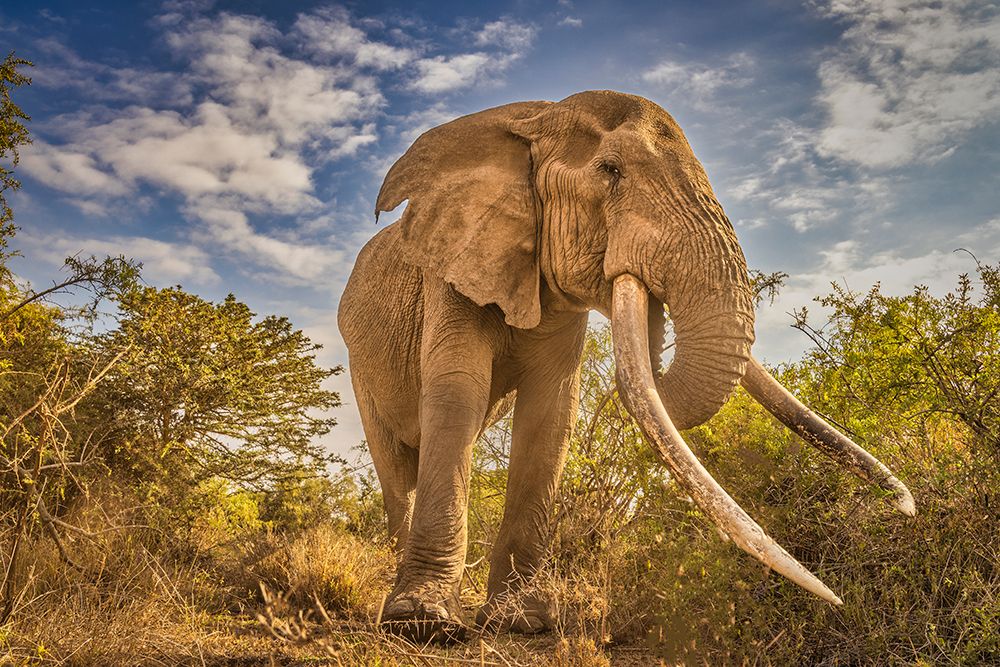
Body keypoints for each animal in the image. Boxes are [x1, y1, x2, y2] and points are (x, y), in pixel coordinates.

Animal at [338, 90, 916, 640]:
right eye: (611, 171)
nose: (906, 508)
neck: (535, 118)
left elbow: (551, 414)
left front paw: (523, 622)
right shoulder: (455, 263)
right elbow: (458, 391)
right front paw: (422, 623)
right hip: (358, 364)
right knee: (395, 464)